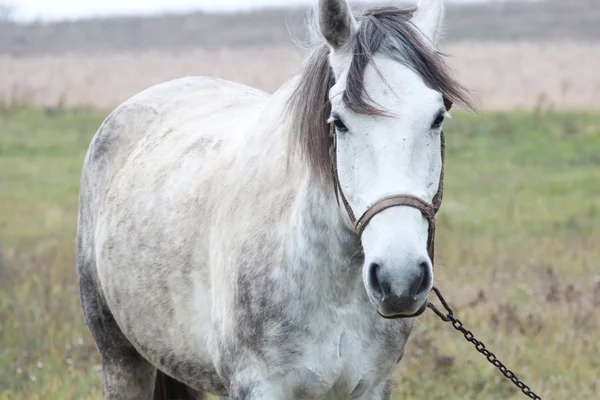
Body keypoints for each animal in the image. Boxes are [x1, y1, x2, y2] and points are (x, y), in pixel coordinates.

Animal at [75, 1, 472, 398]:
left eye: (438, 117)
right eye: (339, 122)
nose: (399, 280)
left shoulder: (372, 385)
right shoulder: (258, 384)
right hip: (121, 359)